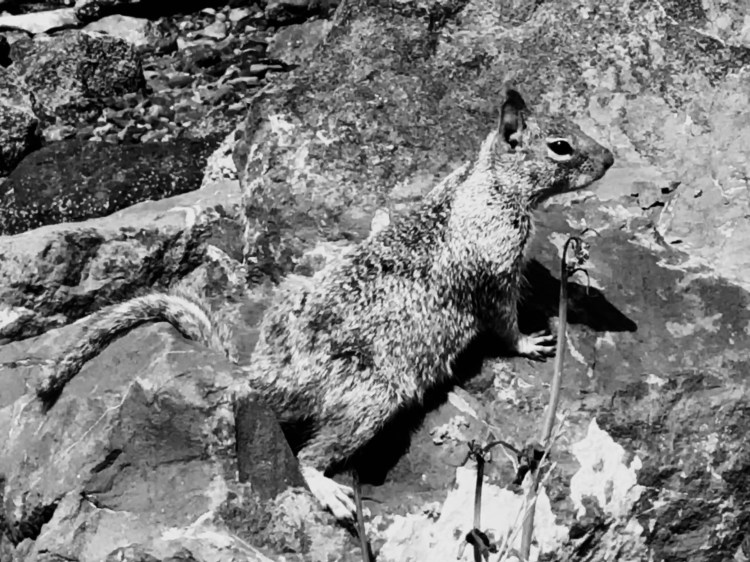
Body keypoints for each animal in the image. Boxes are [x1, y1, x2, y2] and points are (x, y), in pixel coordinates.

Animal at [37, 89, 614, 521]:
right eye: (561, 146)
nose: (609, 157)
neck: (486, 182)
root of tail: (262, 376)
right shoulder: (494, 269)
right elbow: (503, 322)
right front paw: (532, 341)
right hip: (371, 399)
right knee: (308, 455)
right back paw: (331, 491)